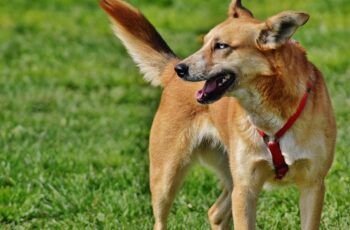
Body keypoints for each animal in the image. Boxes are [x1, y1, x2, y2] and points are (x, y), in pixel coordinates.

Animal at [99, 0, 336, 229]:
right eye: (204, 42)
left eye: (221, 46)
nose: (180, 69)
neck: (271, 115)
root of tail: (171, 74)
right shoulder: (245, 189)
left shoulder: (313, 186)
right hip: (166, 177)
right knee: (161, 220)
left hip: (229, 179)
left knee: (216, 213)